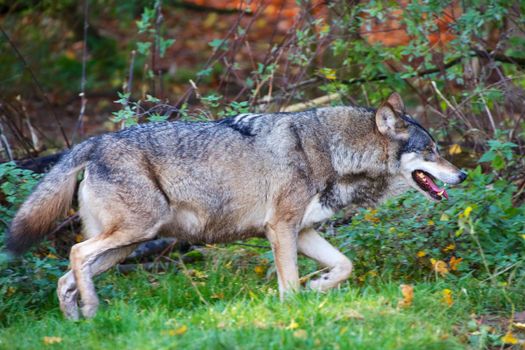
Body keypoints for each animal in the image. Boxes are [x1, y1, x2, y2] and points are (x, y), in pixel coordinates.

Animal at [3, 92, 462, 320]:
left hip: (125, 246)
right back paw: (92, 308)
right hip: (133, 234)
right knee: (75, 253)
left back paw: (79, 322)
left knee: (65, 278)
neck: (334, 152)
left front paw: (318, 287)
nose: (462, 175)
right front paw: (294, 313)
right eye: (432, 151)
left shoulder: (303, 230)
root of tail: (94, 141)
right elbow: (289, 285)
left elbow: (344, 266)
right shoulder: (281, 228)